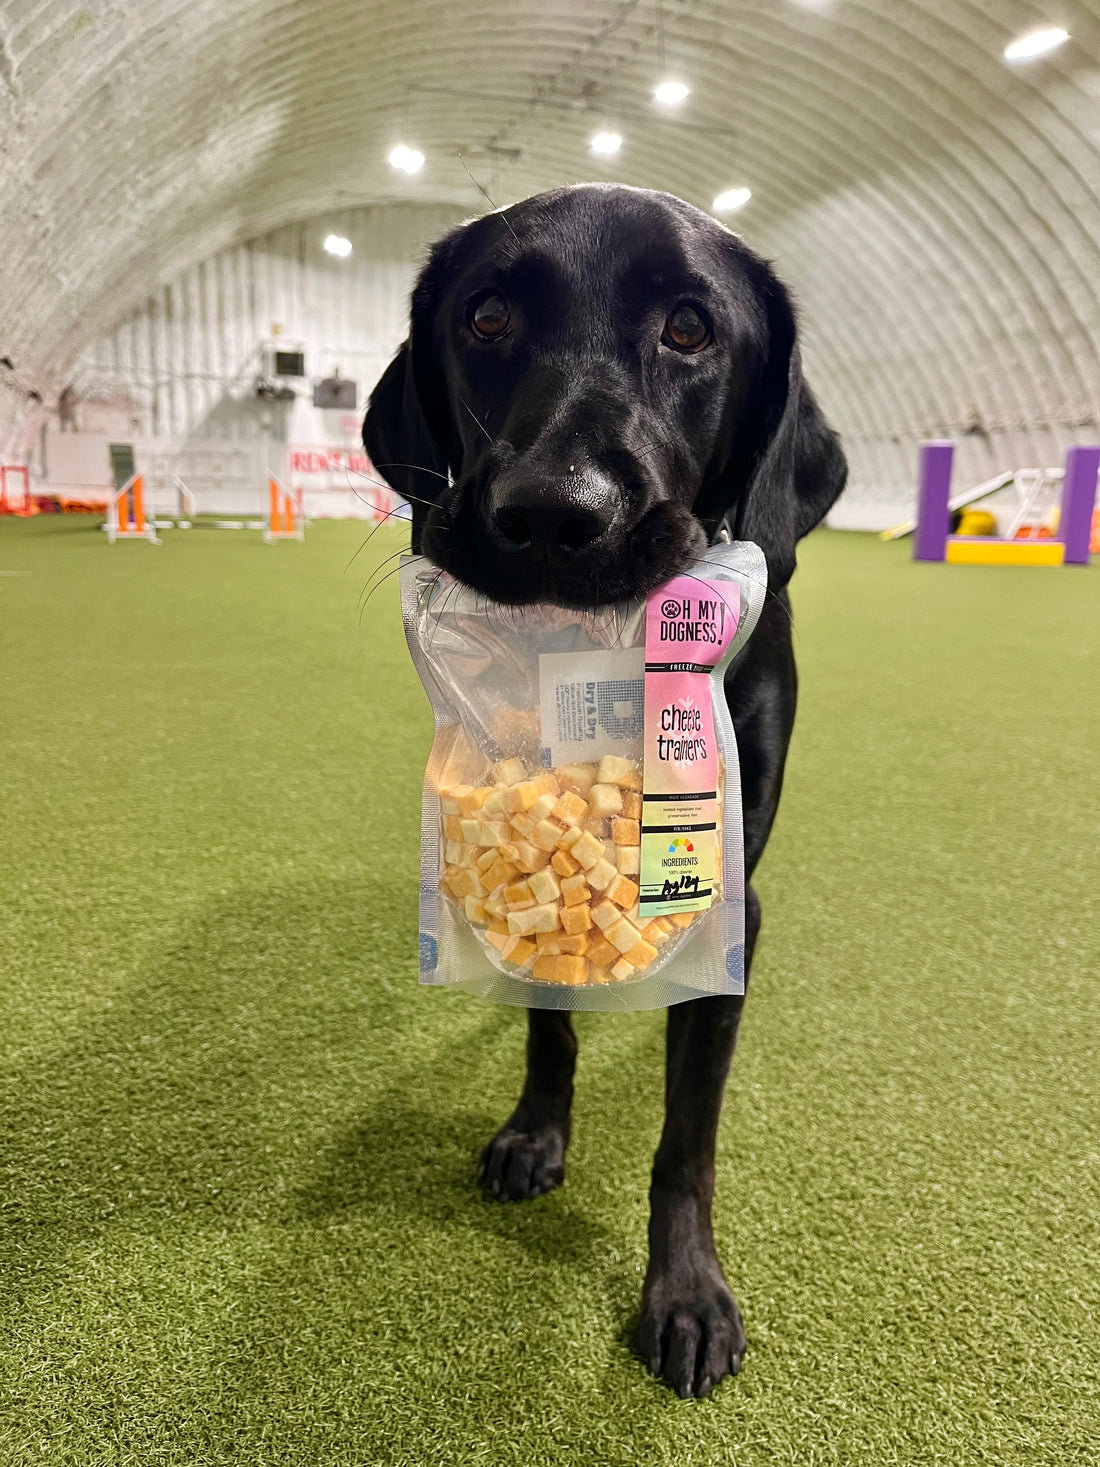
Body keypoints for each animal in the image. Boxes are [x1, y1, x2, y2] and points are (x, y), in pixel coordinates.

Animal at [362, 183, 844, 1396]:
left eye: (690, 328)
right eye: (485, 317)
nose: (550, 511)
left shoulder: (730, 894)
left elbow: (687, 1141)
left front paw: (685, 1293)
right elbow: (549, 1017)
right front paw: (539, 1129)